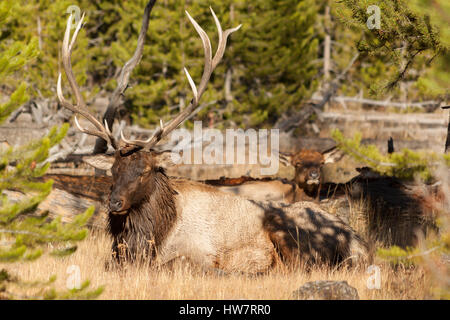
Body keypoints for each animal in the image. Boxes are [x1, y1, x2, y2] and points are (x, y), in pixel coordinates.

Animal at [57, 6, 366, 272]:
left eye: (144, 170)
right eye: (113, 170)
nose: (114, 203)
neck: (154, 236)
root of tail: (358, 242)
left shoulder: (197, 253)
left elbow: (175, 264)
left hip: (287, 228)